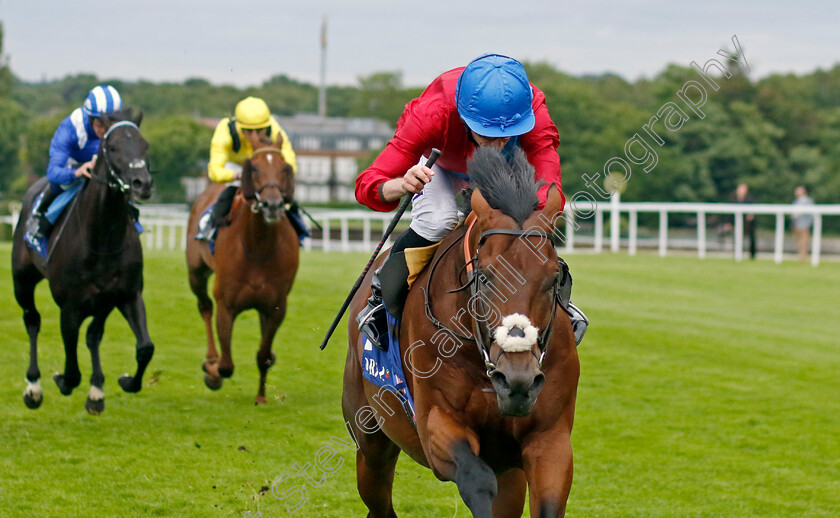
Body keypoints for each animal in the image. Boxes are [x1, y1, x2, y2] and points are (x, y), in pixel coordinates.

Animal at [11, 107, 156, 416]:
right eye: (112, 147)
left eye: (144, 145)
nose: (143, 184)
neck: (103, 237)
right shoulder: (70, 305)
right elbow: (72, 366)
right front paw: (61, 380)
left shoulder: (124, 294)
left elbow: (144, 347)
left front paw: (124, 382)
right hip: (22, 281)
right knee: (32, 320)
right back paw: (33, 386)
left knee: (93, 335)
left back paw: (96, 389)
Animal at [186, 142, 298, 406]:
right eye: (253, 168)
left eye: (285, 168)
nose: (272, 204)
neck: (258, 247)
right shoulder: (226, 305)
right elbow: (226, 365)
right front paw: (212, 372)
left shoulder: (276, 306)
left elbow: (263, 355)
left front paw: (261, 397)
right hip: (196, 273)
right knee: (204, 306)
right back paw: (210, 357)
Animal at [344, 147, 580, 518]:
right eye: (484, 276)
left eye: (555, 278)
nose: (518, 380)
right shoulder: (436, 424)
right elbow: (476, 479)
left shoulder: (550, 438)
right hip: (371, 440)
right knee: (378, 498)